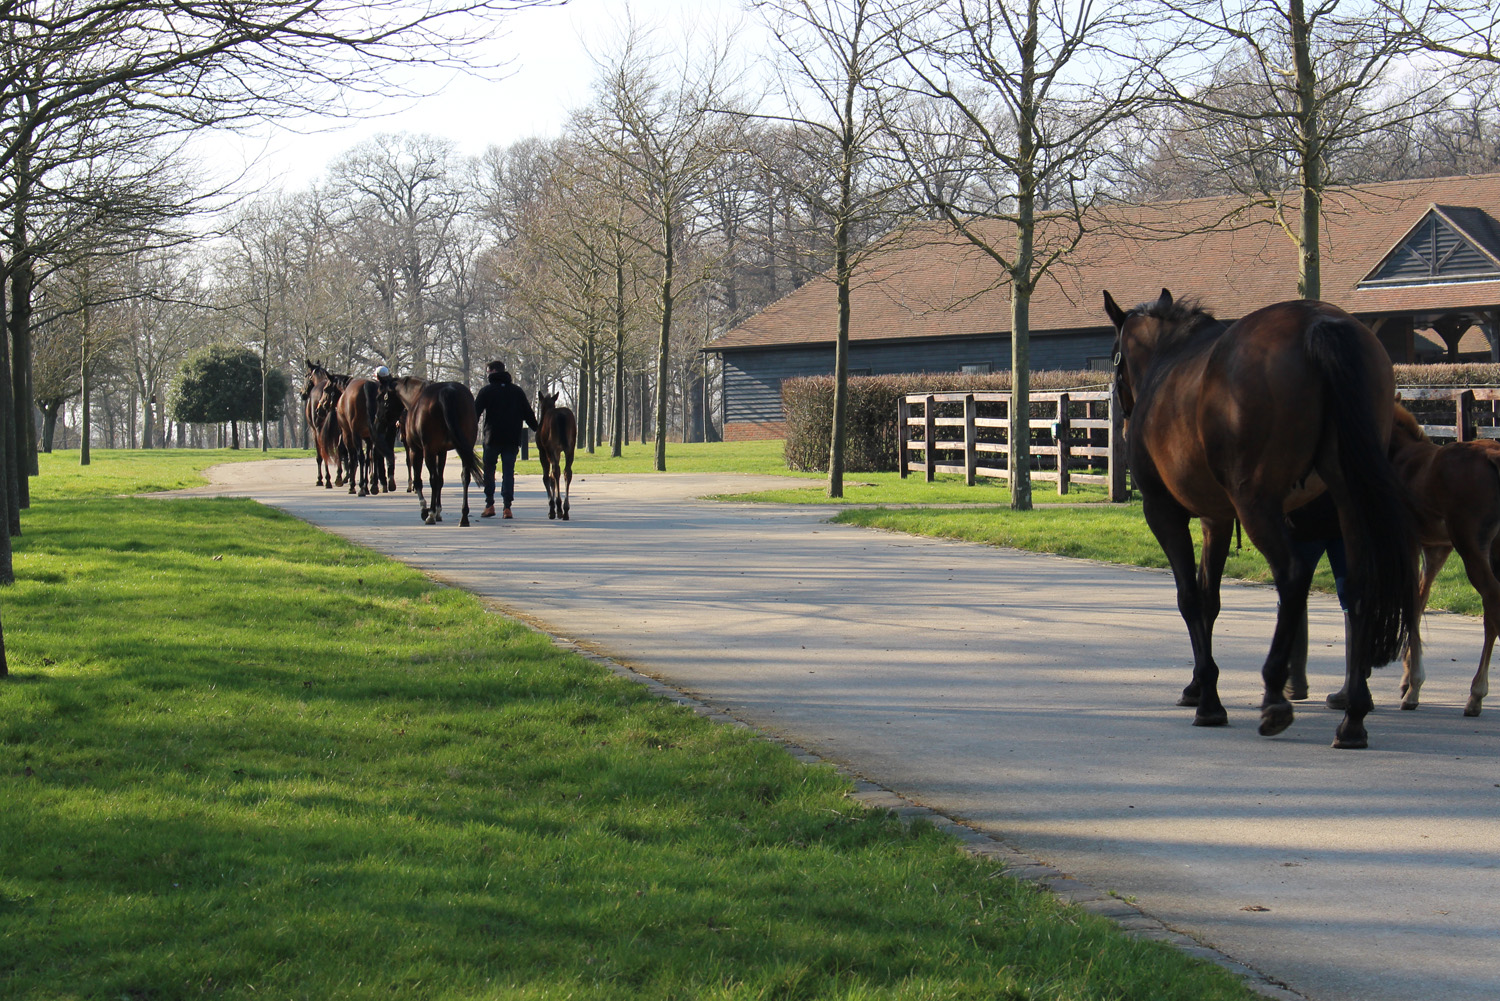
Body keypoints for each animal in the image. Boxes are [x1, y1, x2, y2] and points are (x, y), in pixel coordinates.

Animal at [373, 375, 480, 528]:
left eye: (379, 397)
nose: (377, 421)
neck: (414, 397)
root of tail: (448, 391)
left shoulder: (416, 450)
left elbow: (419, 480)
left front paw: (426, 510)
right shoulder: (442, 451)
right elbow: (440, 479)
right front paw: (438, 511)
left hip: (428, 451)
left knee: (433, 479)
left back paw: (430, 514)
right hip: (465, 448)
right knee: (465, 477)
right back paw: (464, 516)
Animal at [537, 390, 576, 522]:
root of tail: (561, 417)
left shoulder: (543, 452)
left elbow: (547, 478)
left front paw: (551, 509)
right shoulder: (558, 452)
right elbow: (552, 478)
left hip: (551, 448)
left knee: (556, 471)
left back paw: (559, 507)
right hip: (570, 448)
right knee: (567, 472)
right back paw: (566, 509)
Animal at [1110, 285, 1410, 747]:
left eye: (1115, 361)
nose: (1123, 416)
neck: (1168, 360)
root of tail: (1318, 323)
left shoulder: (1163, 512)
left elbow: (1189, 598)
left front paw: (1209, 701)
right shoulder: (1216, 519)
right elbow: (1209, 598)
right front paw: (1199, 685)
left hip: (1257, 503)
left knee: (1292, 576)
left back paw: (1274, 695)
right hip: (1348, 496)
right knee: (1358, 585)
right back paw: (1353, 716)